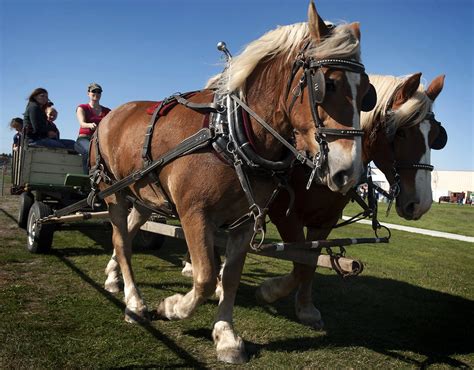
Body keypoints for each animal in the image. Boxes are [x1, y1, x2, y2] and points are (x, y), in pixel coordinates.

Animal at [93, 1, 374, 362]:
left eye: (366, 93)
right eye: (328, 84)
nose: (348, 172)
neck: (230, 132)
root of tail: (110, 115)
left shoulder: (245, 221)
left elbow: (230, 277)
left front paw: (225, 335)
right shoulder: (194, 213)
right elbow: (206, 276)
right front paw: (172, 307)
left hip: (142, 197)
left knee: (126, 234)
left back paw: (114, 279)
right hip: (113, 193)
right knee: (121, 241)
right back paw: (134, 301)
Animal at [258, 71, 446, 326]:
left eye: (436, 136)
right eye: (401, 132)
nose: (422, 203)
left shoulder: (325, 220)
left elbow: (308, 263)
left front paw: (305, 308)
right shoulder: (284, 215)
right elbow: (298, 261)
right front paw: (270, 290)